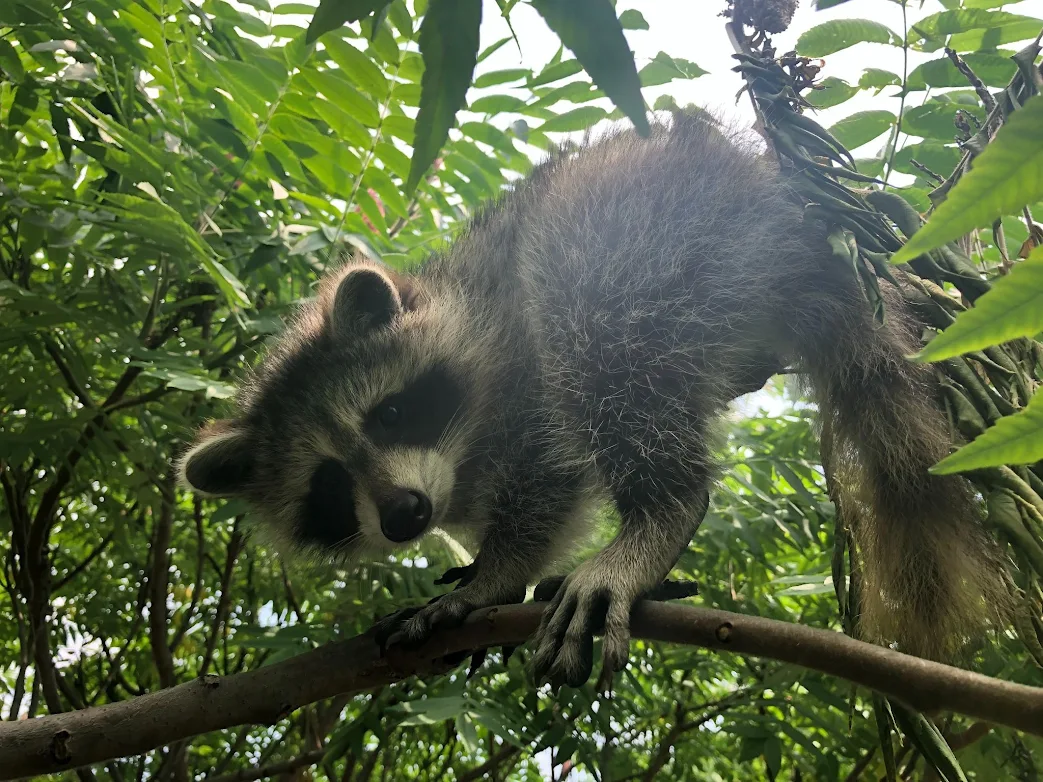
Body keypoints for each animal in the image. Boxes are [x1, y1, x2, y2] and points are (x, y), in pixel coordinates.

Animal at [179, 112, 1007, 688]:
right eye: (328, 484)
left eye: (388, 414)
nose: (406, 515)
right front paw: (483, 564)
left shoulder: (513, 364)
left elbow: (545, 462)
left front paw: (496, 572)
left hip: (648, 229)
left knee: (583, 304)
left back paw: (662, 511)